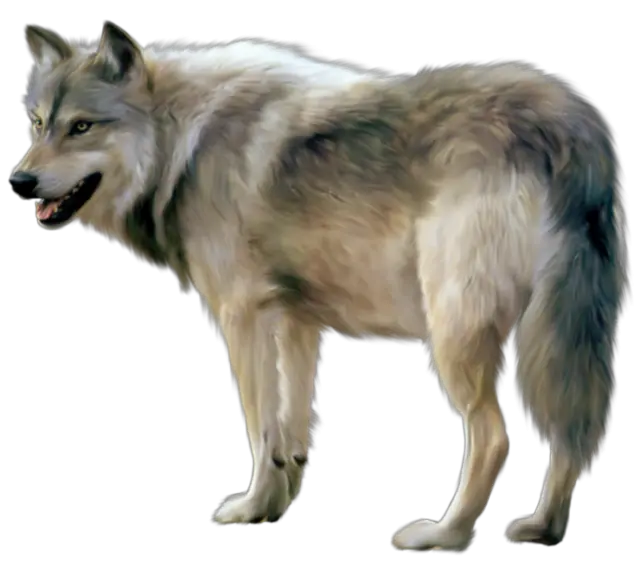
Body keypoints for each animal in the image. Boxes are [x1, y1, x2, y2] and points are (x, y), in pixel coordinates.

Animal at [10, 22, 627, 550]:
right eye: (38, 124)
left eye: (82, 126)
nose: (19, 181)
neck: (182, 141)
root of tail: (571, 126)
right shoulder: (295, 322)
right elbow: (290, 430)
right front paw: (276, 505)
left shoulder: (243, 316)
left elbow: (260, 426)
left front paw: (249, 508)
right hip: (558, 334)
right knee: (574, 431)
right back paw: (544, 528)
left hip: (456, 334)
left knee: (494, 437)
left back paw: (444, 535)